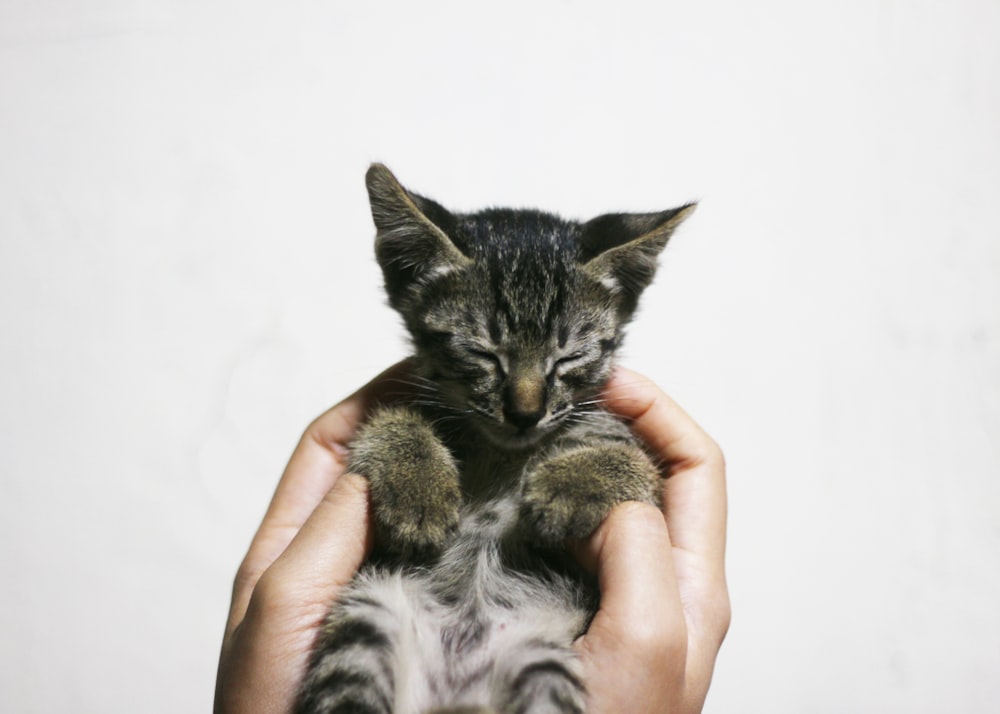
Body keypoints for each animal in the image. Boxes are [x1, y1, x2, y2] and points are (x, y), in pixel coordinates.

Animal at [292, 163, 692, 712]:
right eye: (482, 353)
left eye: (568, 357)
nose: (526, 413)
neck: (499, 453)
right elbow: (387, 420)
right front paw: (419, 491)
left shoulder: (626, 449)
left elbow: (636, 464)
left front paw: (565, 488)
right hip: (367, 619)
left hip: (540, 661)